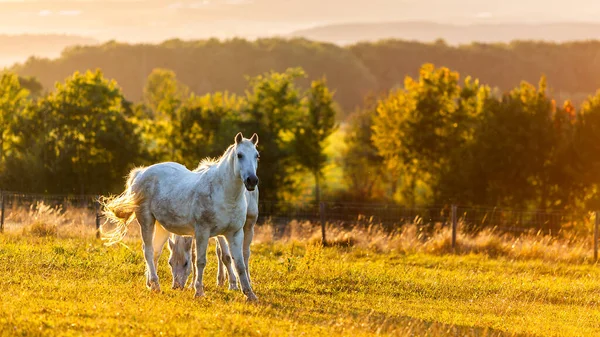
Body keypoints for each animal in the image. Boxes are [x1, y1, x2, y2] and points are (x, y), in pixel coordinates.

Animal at [101, 133, 260, 300]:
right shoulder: (202, 232)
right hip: (146, 221)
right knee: (148, 250)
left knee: (156, 251)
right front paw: (199, 292)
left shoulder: (234, 234)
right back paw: (156, 285)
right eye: (239, 155)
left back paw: (151, 284)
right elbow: (200, 261)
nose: (251, 180)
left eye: (257, 156)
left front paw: (250, 294)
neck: (223, 192)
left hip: (161, 227)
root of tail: (141, 173)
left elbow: (239, 264)